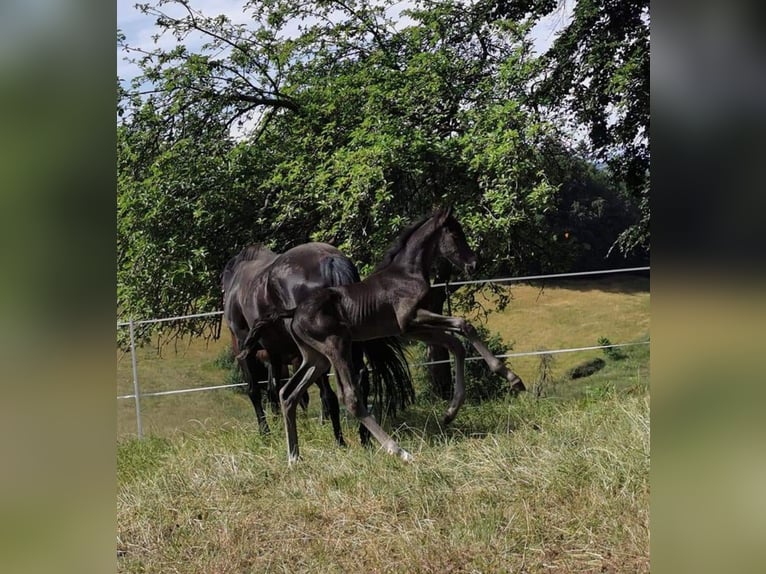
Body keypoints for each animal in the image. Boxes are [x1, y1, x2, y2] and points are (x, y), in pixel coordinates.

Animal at [222, 243, 414, 446]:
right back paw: (364, 439)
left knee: (329, 394)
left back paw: (340, 441)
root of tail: (329, 260)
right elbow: (275, 390)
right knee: (358, 380)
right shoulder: (276, 354)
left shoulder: (245, 347)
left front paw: (266, 434)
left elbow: (255, 391)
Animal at [243, 207, 524, 464]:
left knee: (287, 393)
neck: (407, 273)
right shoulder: (411, 319)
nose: (473, 263)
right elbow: (464, 325)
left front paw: (450, 413)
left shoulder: (413, 328)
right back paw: (398, 451)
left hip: (315, 358)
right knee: (349, 397)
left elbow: (455, 344)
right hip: (337, 346)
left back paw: (294, 458)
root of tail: (293, 311)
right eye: (455, 234)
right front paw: (511, 377)